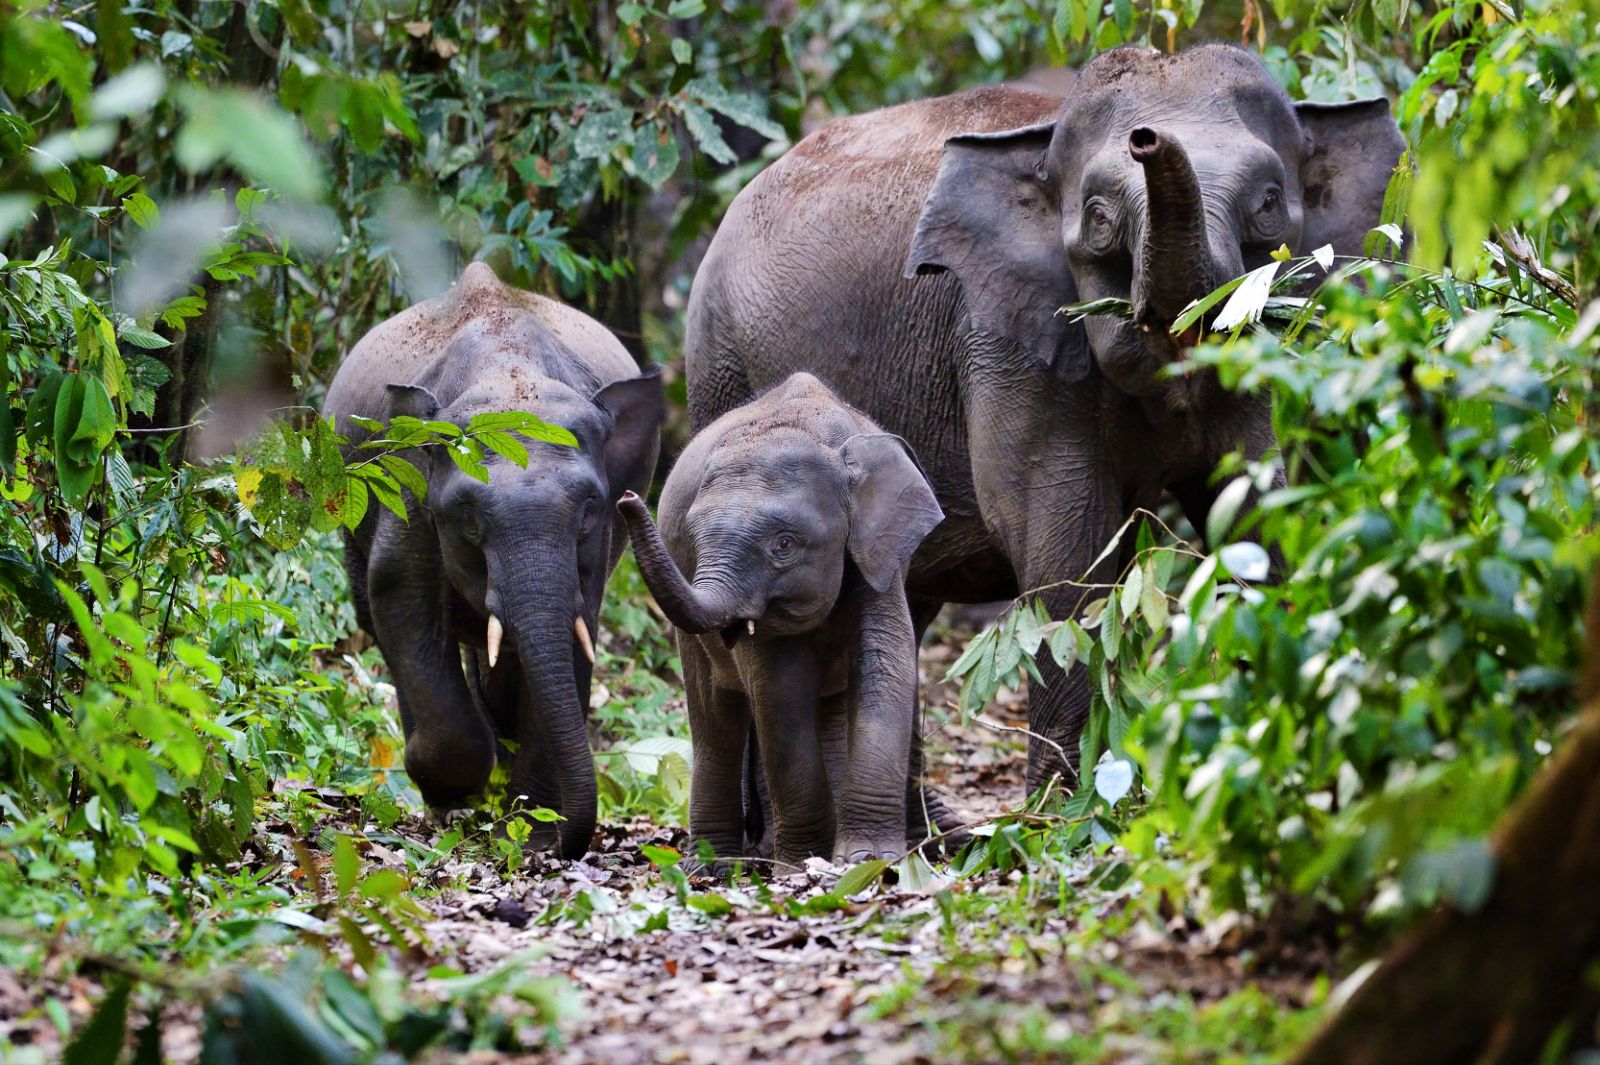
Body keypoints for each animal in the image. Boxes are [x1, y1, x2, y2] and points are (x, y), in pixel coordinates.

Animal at [323, 262, 664, 858]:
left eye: (589, 509)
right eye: (469, 517)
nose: (566, 846)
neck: (508, 370)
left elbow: (576, 623)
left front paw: (530, 833)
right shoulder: (409, 487)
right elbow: (398, 595)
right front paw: (455, 797)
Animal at [616, 373, 945, 867]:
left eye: (784, 545)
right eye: (692, 539)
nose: (628, 497)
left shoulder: (879, 561)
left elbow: (886, 670)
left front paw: (865, 860)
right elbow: (780, 693)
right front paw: (802, 862)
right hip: (690, 642)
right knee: (716, 719)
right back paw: (712, 864)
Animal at [683, 43, 1406, 793]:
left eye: (1267, 206)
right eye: (1098, 217)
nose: (1147, 138)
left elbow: (1257, 510)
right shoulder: (1005, 336)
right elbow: (1062, 545)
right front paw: (1069, 810)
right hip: (721, 366)